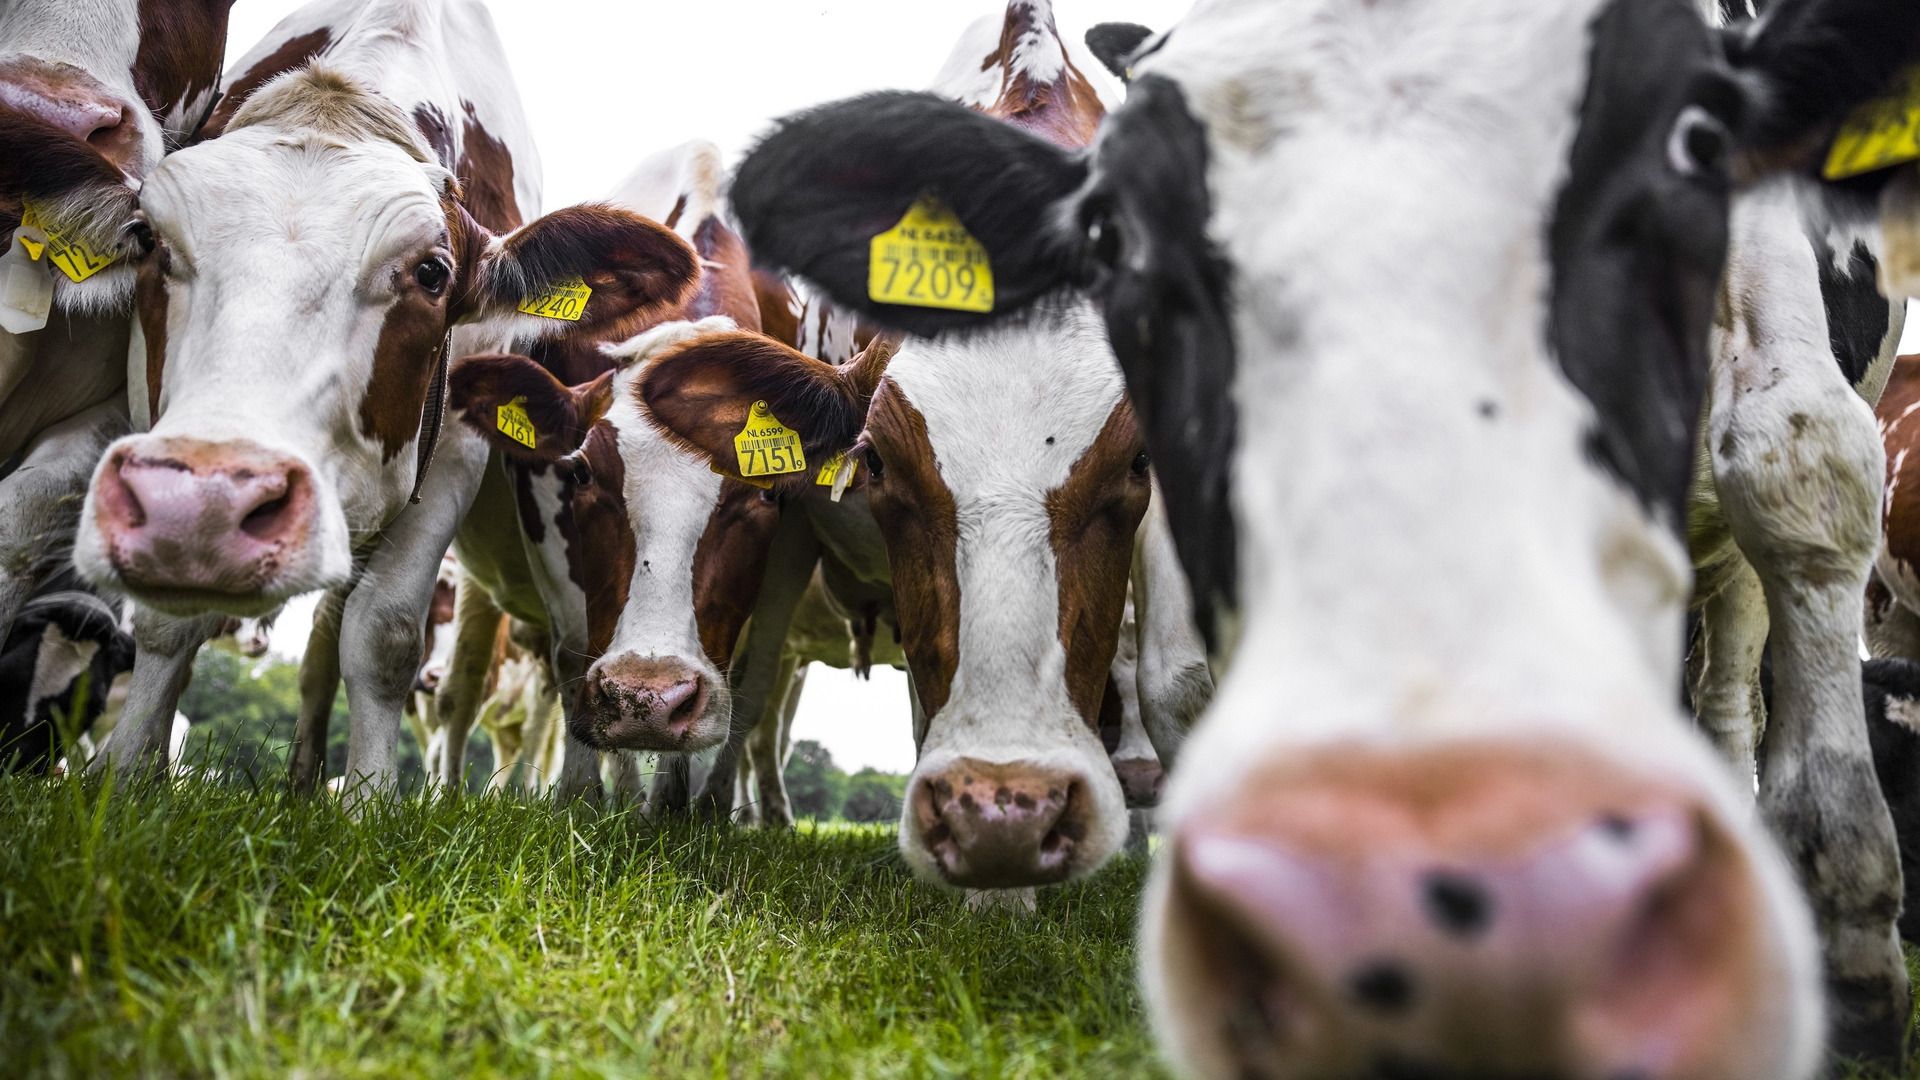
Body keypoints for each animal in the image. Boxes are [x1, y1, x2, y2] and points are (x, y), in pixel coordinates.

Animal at [41, 0, 704, 803]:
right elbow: (171, 623)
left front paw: (368, 801)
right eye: (145, 239)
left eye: (432, 272)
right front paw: (130, 771)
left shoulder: (457, 443)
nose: (206, 506)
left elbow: (383, 633)